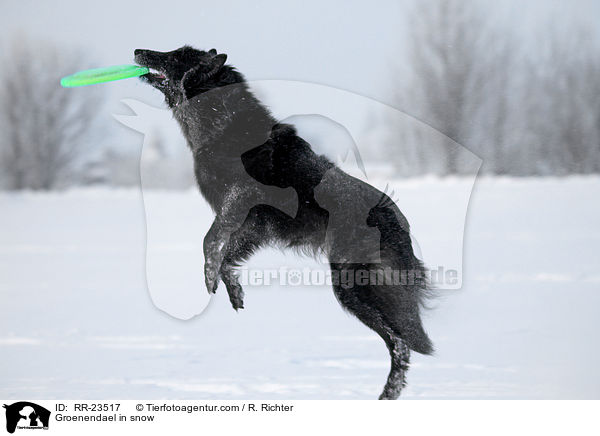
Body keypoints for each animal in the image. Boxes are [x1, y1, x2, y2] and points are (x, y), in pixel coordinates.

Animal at [134, 45, 434, 398]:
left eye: (176, 56)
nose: (138, 50)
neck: (221, 123)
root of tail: (397, 221)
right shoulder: (253, 227)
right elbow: (227, 256)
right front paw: (234, 290)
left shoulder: (239, 202)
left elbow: (209, 242)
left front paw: (209, 279)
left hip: (351, 287)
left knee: (400, 343)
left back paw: (389, 391)